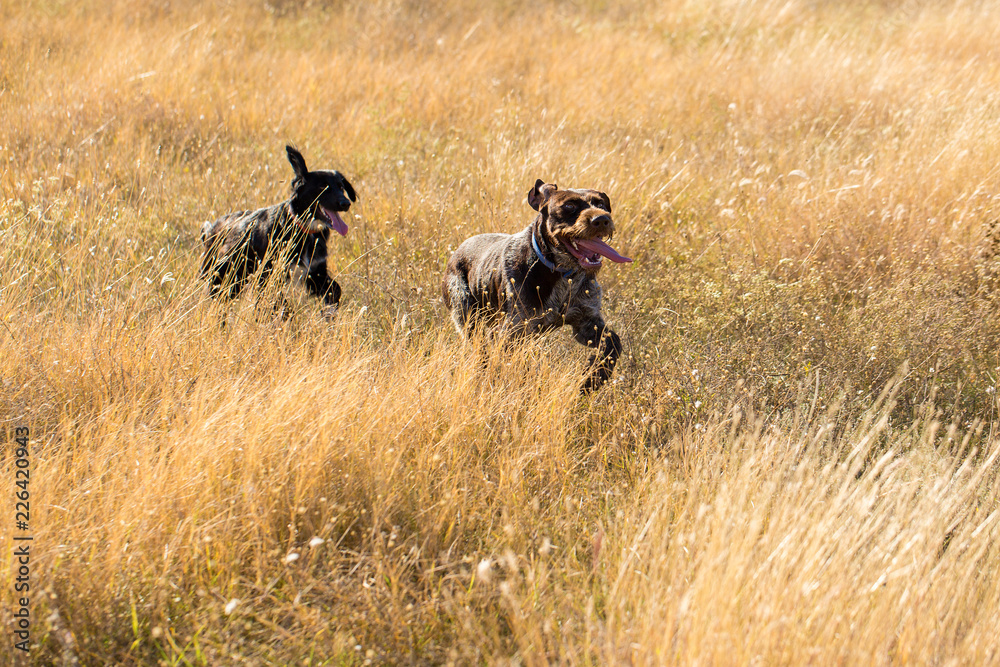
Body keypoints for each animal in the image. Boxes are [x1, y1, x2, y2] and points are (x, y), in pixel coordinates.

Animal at [199, 146, 356, 314]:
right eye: (323, 187)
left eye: (341, 187)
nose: (346, 203)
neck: (303, 230)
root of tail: (211, 229)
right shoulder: (268, 276)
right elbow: (280, 305)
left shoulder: (315, 272)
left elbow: (335, 290)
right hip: (225, 278)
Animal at [446, 180, 632, 394]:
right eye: (569, 206)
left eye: (601, 204)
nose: (601, 219)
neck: (563, 274)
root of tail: (456, 252)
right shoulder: (510, 333)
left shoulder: (586, 321)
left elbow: (613, 344)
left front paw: (593, 378)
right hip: (468, 318)